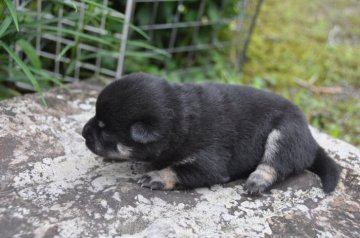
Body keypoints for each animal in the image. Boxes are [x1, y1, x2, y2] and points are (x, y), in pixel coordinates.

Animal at [82, 73, 340, 195]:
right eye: (96, 117)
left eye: (105, 130)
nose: (83, 133)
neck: (180, 117)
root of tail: (312, 140)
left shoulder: (209, 163)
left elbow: (179, 169)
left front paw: (156, 176)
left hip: (285, 133)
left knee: (275, 163)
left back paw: (256, 180)